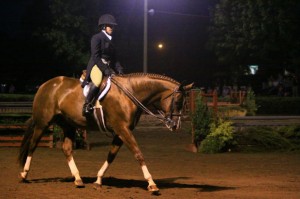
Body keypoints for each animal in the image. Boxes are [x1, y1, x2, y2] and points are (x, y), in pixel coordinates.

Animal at [18, 72, 192, 193]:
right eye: (178, 101)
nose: (176, 126)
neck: (130, 93)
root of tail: (45, 85)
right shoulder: (122, 129)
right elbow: (138, 154)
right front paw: (152, 183)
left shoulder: (121, 131)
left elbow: (111, 155)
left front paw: (98, 180)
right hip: (43, 123)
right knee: (33, 145)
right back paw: (24, 174)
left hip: (68, 125)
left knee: (66, 149)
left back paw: (78, 179)